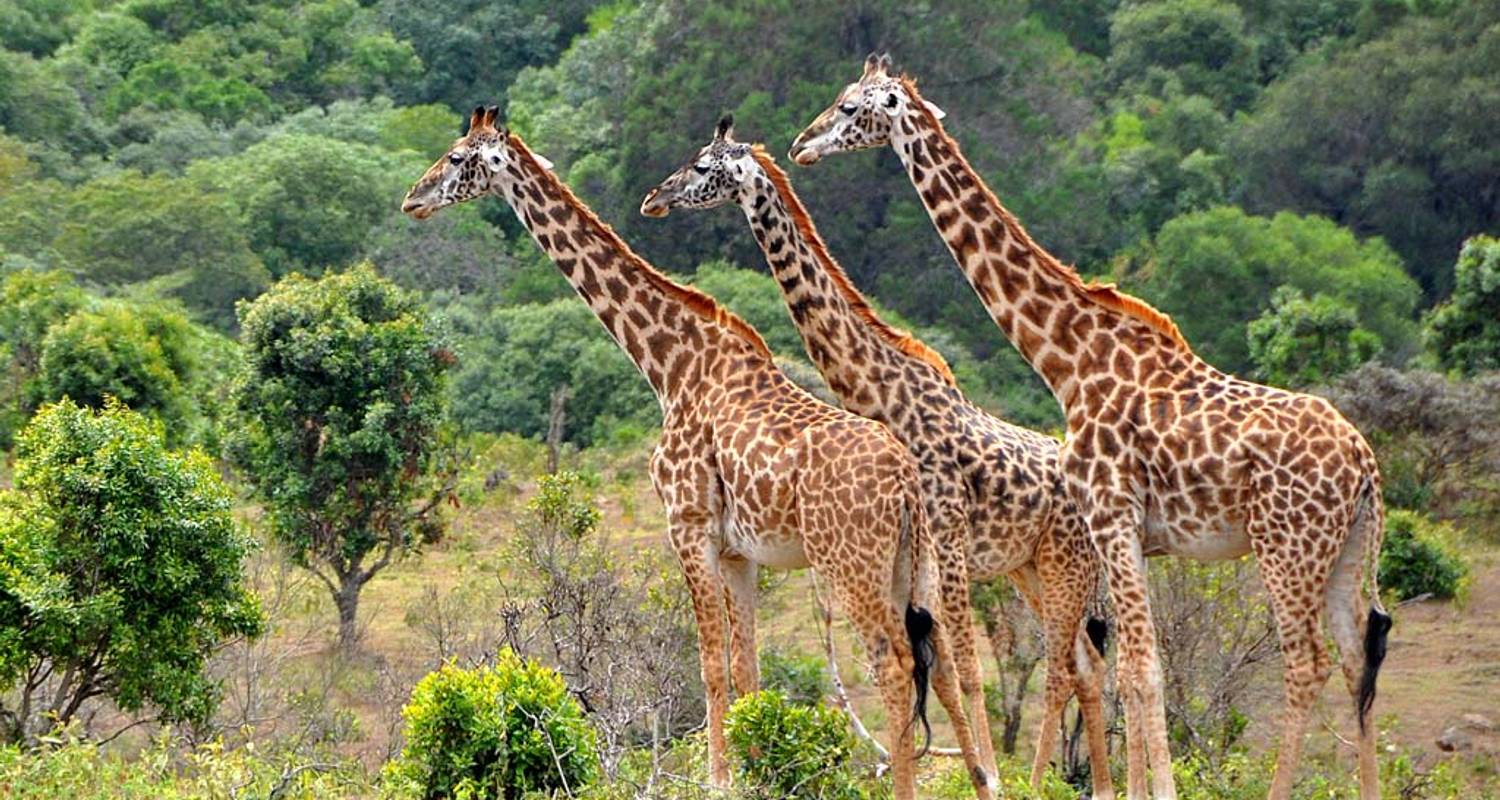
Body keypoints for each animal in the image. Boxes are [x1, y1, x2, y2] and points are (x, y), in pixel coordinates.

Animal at [405, 105, 1002, 798]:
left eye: (455, 158)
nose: (412, 199)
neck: (669, 363)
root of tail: (906, 480)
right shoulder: (740, 551)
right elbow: (749, 672)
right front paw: (757, 772)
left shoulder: (686, 525)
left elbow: (711, 665)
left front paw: (720, 779)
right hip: (917, 562)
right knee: (945, 664)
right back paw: (982, 779)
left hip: (849, 564)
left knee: (895, 663)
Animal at [642, 114, 1116, 798]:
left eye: (704, 166)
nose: (655, 198)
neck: (878, 389)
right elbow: (945, 667)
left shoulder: (941, 540)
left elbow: (961, 669)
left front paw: (986, 779)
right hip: (1030, 569)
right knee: (1087, 661)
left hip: (1059, 563)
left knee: (1059, 667)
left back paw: (1037, 781)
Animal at [792, 56, 1386, 798]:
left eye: (850, 108)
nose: (800, 144)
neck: (1069, 362)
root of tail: (1365, 467)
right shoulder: (1127, 533)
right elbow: (1130, 664)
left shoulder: (1110, 515)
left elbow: (1139, 669)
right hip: (1347, 550)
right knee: (1355, 661)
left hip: (1287, 547)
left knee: (1305, 664)